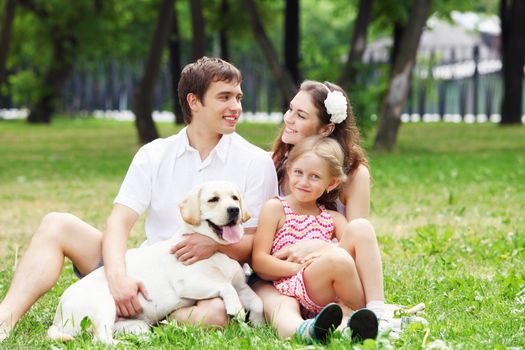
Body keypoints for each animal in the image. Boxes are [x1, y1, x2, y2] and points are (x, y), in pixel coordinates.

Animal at [47, 182, 264, 344]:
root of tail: (58, 316)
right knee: (101, 340)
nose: (234, 210)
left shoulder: (241, 286)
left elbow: (258, 302)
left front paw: (258, 323)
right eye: (213, 199)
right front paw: (236, 307)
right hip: (103, 304)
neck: (218, 250)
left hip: (134, 324)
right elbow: (226, 286)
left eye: (235, 198)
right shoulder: (190, 283)